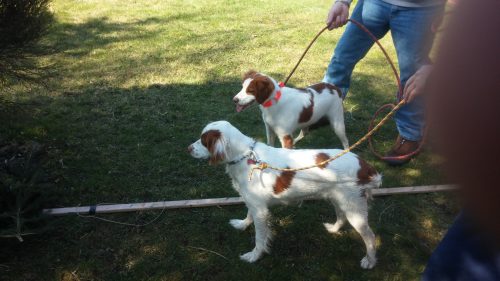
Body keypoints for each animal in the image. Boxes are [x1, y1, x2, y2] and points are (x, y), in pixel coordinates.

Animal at [189, 121, 380, 270]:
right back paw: (333, 229)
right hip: (339, 199)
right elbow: (248, 215)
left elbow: (259, 238)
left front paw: (254, 256)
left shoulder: (260, 210)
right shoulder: (253, 202)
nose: (188, 148)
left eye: (204, 141)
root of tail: (364, 164)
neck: (245, 157)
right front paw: (242, 224)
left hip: (354, 209)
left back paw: (369, 261)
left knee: (370, 236)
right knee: (341, 216)